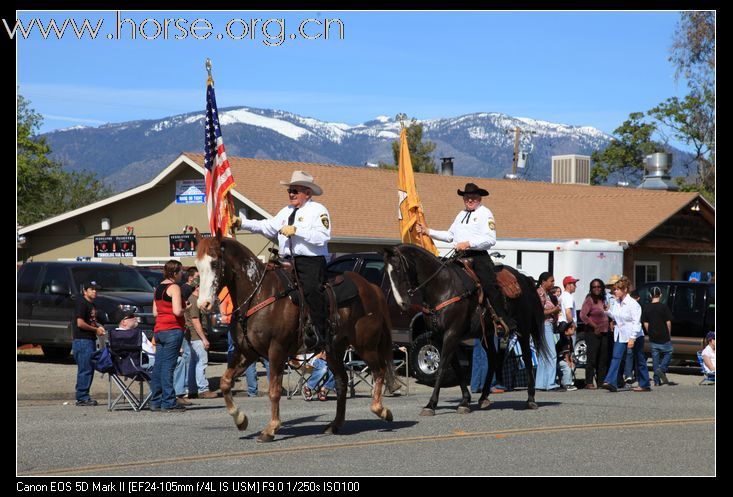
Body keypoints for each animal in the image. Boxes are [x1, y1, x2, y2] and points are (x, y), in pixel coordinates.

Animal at [194, 232, 394, 442]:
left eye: (215, 263)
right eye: (197, 264)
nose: (203, 304)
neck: (258, 294)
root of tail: (371, 287)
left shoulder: (277, 351)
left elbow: (274, 391)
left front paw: (271, 428)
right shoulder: (247, 352)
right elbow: (225, 382)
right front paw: (240, 419)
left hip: (366, 345)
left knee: (379, 372)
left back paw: (381, 410)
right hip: (335, 350)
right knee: (342, 381)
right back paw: (335, 424)